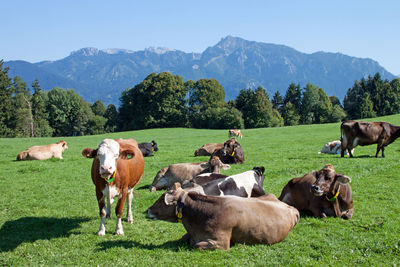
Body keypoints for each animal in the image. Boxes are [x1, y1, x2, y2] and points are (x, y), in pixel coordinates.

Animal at [146, 184, 296, 251]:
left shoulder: (220, 243)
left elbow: (196, 245)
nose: (148, 210)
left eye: (160, 200)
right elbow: (184, 239)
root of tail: (291, 208)